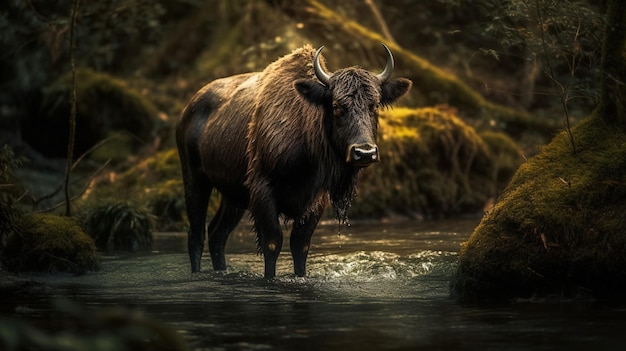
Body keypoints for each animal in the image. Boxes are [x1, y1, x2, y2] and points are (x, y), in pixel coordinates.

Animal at [176, 44, 410, 280]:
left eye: (375, 106)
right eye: (336, 106)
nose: (364, 152)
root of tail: (188, 109)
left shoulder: (315, 200)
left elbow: (300, 246)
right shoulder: (263, 191)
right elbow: (272, 243)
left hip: (232, 198)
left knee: (217, 234)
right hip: (195, 180)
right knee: (196, 235)